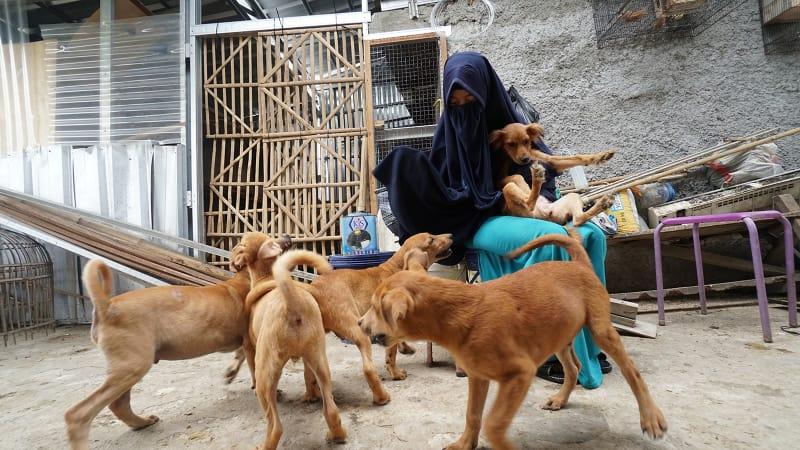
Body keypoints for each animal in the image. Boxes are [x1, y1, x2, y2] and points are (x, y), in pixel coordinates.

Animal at [64, 236, 288, 450]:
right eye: (271, 240)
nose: (287, 237)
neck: (244, 278)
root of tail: (107, 306)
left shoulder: (245, 341)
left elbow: (240, 356)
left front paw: (230, 372)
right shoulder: (250, 341)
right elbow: (253, 368)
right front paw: (263, 388)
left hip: (129, 366)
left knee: (119, 404)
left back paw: (142, 422)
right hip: (133, 365)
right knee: (80, 413)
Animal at [225, 232, 454, 404]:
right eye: (431, 239)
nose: (451, 235)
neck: (396, 267)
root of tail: (315, 288)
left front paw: (406, 348)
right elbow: (391, 355)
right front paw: (396, 373)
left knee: (309, 374)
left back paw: (312, 395)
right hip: (356, 331)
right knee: (367, 368)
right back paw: (380, 397)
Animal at [231, 234, 344, 448]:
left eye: (241, 242)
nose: (287, 236)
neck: (267, 277)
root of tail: (292, 303)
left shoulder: (251, 347)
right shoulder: (309, 360)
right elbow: (308, 377)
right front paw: (310, 395)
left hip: (266, 373)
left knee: (275, 425)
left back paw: (264, 445)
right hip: (320, 360)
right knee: (331, 410)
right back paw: (337, 435)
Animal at [360, 232, 664, 450]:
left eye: (375, 307)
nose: (360, 324)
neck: (460, 312)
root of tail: (579, 263)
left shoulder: (520, 373)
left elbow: (494, 424)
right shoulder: (478, 377)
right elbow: (472, 414)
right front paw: (464, 444)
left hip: (601, 330)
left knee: (632, 371)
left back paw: (651, 418)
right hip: (558, 336)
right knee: (574, 368)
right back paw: (560, 400)